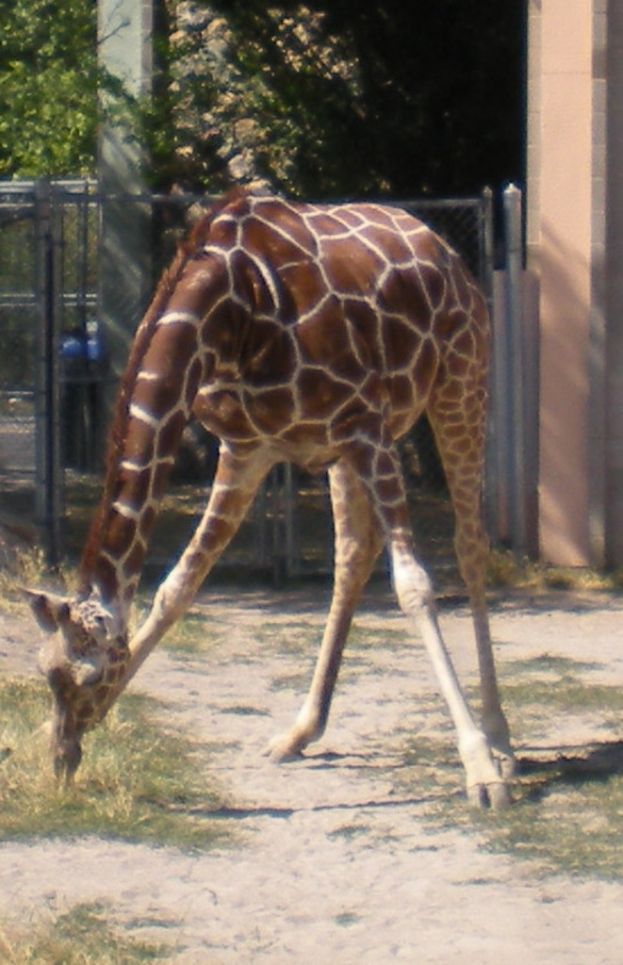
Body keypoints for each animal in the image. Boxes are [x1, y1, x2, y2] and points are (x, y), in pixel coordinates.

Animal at [28, 189, 513, 808]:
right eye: (46, 672)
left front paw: (479, 768)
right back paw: (301, 730)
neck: (231, 316)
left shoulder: (367, 428)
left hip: (459, 382)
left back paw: (501, 741)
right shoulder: (249, 449)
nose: (62, 757)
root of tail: (443, 248)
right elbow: (176, 588)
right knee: (353, 555)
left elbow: (414, 588)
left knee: (470, 545)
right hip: (343, 454)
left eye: (86, 677)